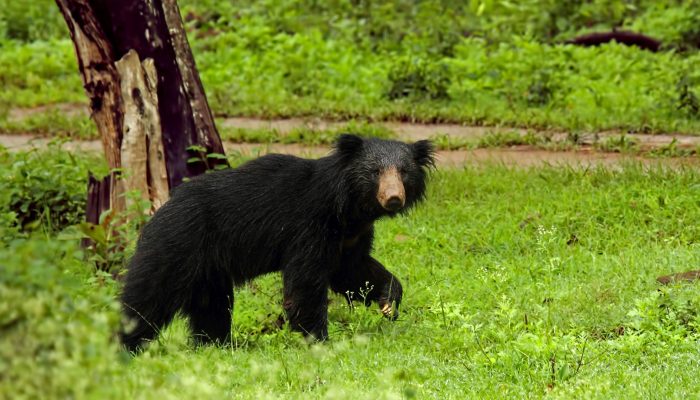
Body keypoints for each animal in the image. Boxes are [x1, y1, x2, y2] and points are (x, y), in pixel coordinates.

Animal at [123, 134, 434, 350]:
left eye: (404, 172)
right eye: (375, 172)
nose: (393, 198)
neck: (349, 210)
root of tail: (157, 213)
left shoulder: (350, 237)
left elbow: (351, 271)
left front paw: (388, 303)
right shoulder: (309, 226)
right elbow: (306, 283)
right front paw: (319, 340)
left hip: (209, 270)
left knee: (212, 307)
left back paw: (217, 344)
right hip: (175, 248)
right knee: (145, 299)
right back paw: (126, 344)